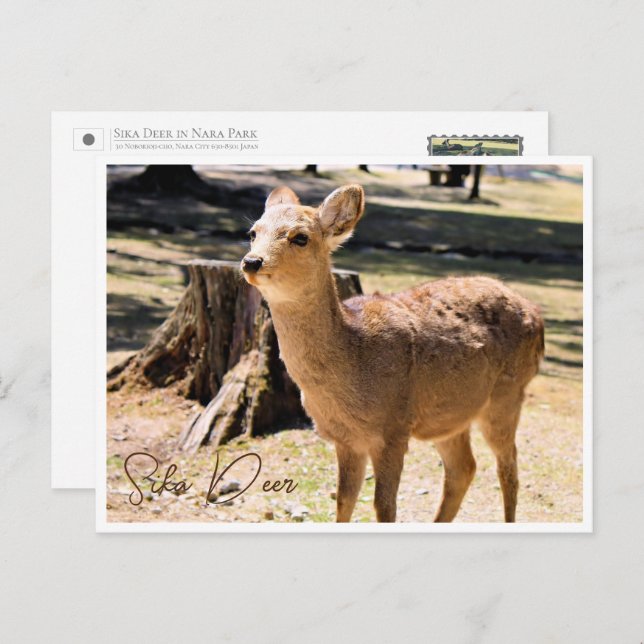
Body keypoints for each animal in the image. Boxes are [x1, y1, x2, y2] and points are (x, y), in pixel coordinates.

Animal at [240, 184, 544, 523]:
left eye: (300, 237)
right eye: (253, 232)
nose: (252, 261)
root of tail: (536, 314)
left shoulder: (393, 429)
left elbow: (384, 506)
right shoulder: (344, 438)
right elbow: (344, 499)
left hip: (508, 395)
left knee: (508, 468)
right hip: (450, 413)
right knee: (464, 468)